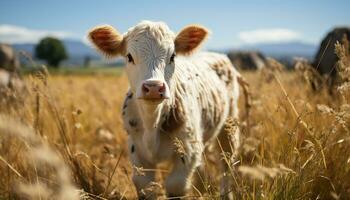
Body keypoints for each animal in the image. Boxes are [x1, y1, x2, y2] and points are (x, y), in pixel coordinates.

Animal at [89, 20, 242, 198]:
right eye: (129, 56)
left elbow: (175, 185)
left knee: (226, 164)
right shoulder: (137, 154)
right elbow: (146, 187)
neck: (152, 124)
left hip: (228, 128)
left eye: (173, 56)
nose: (153, 87)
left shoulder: (188, 151)